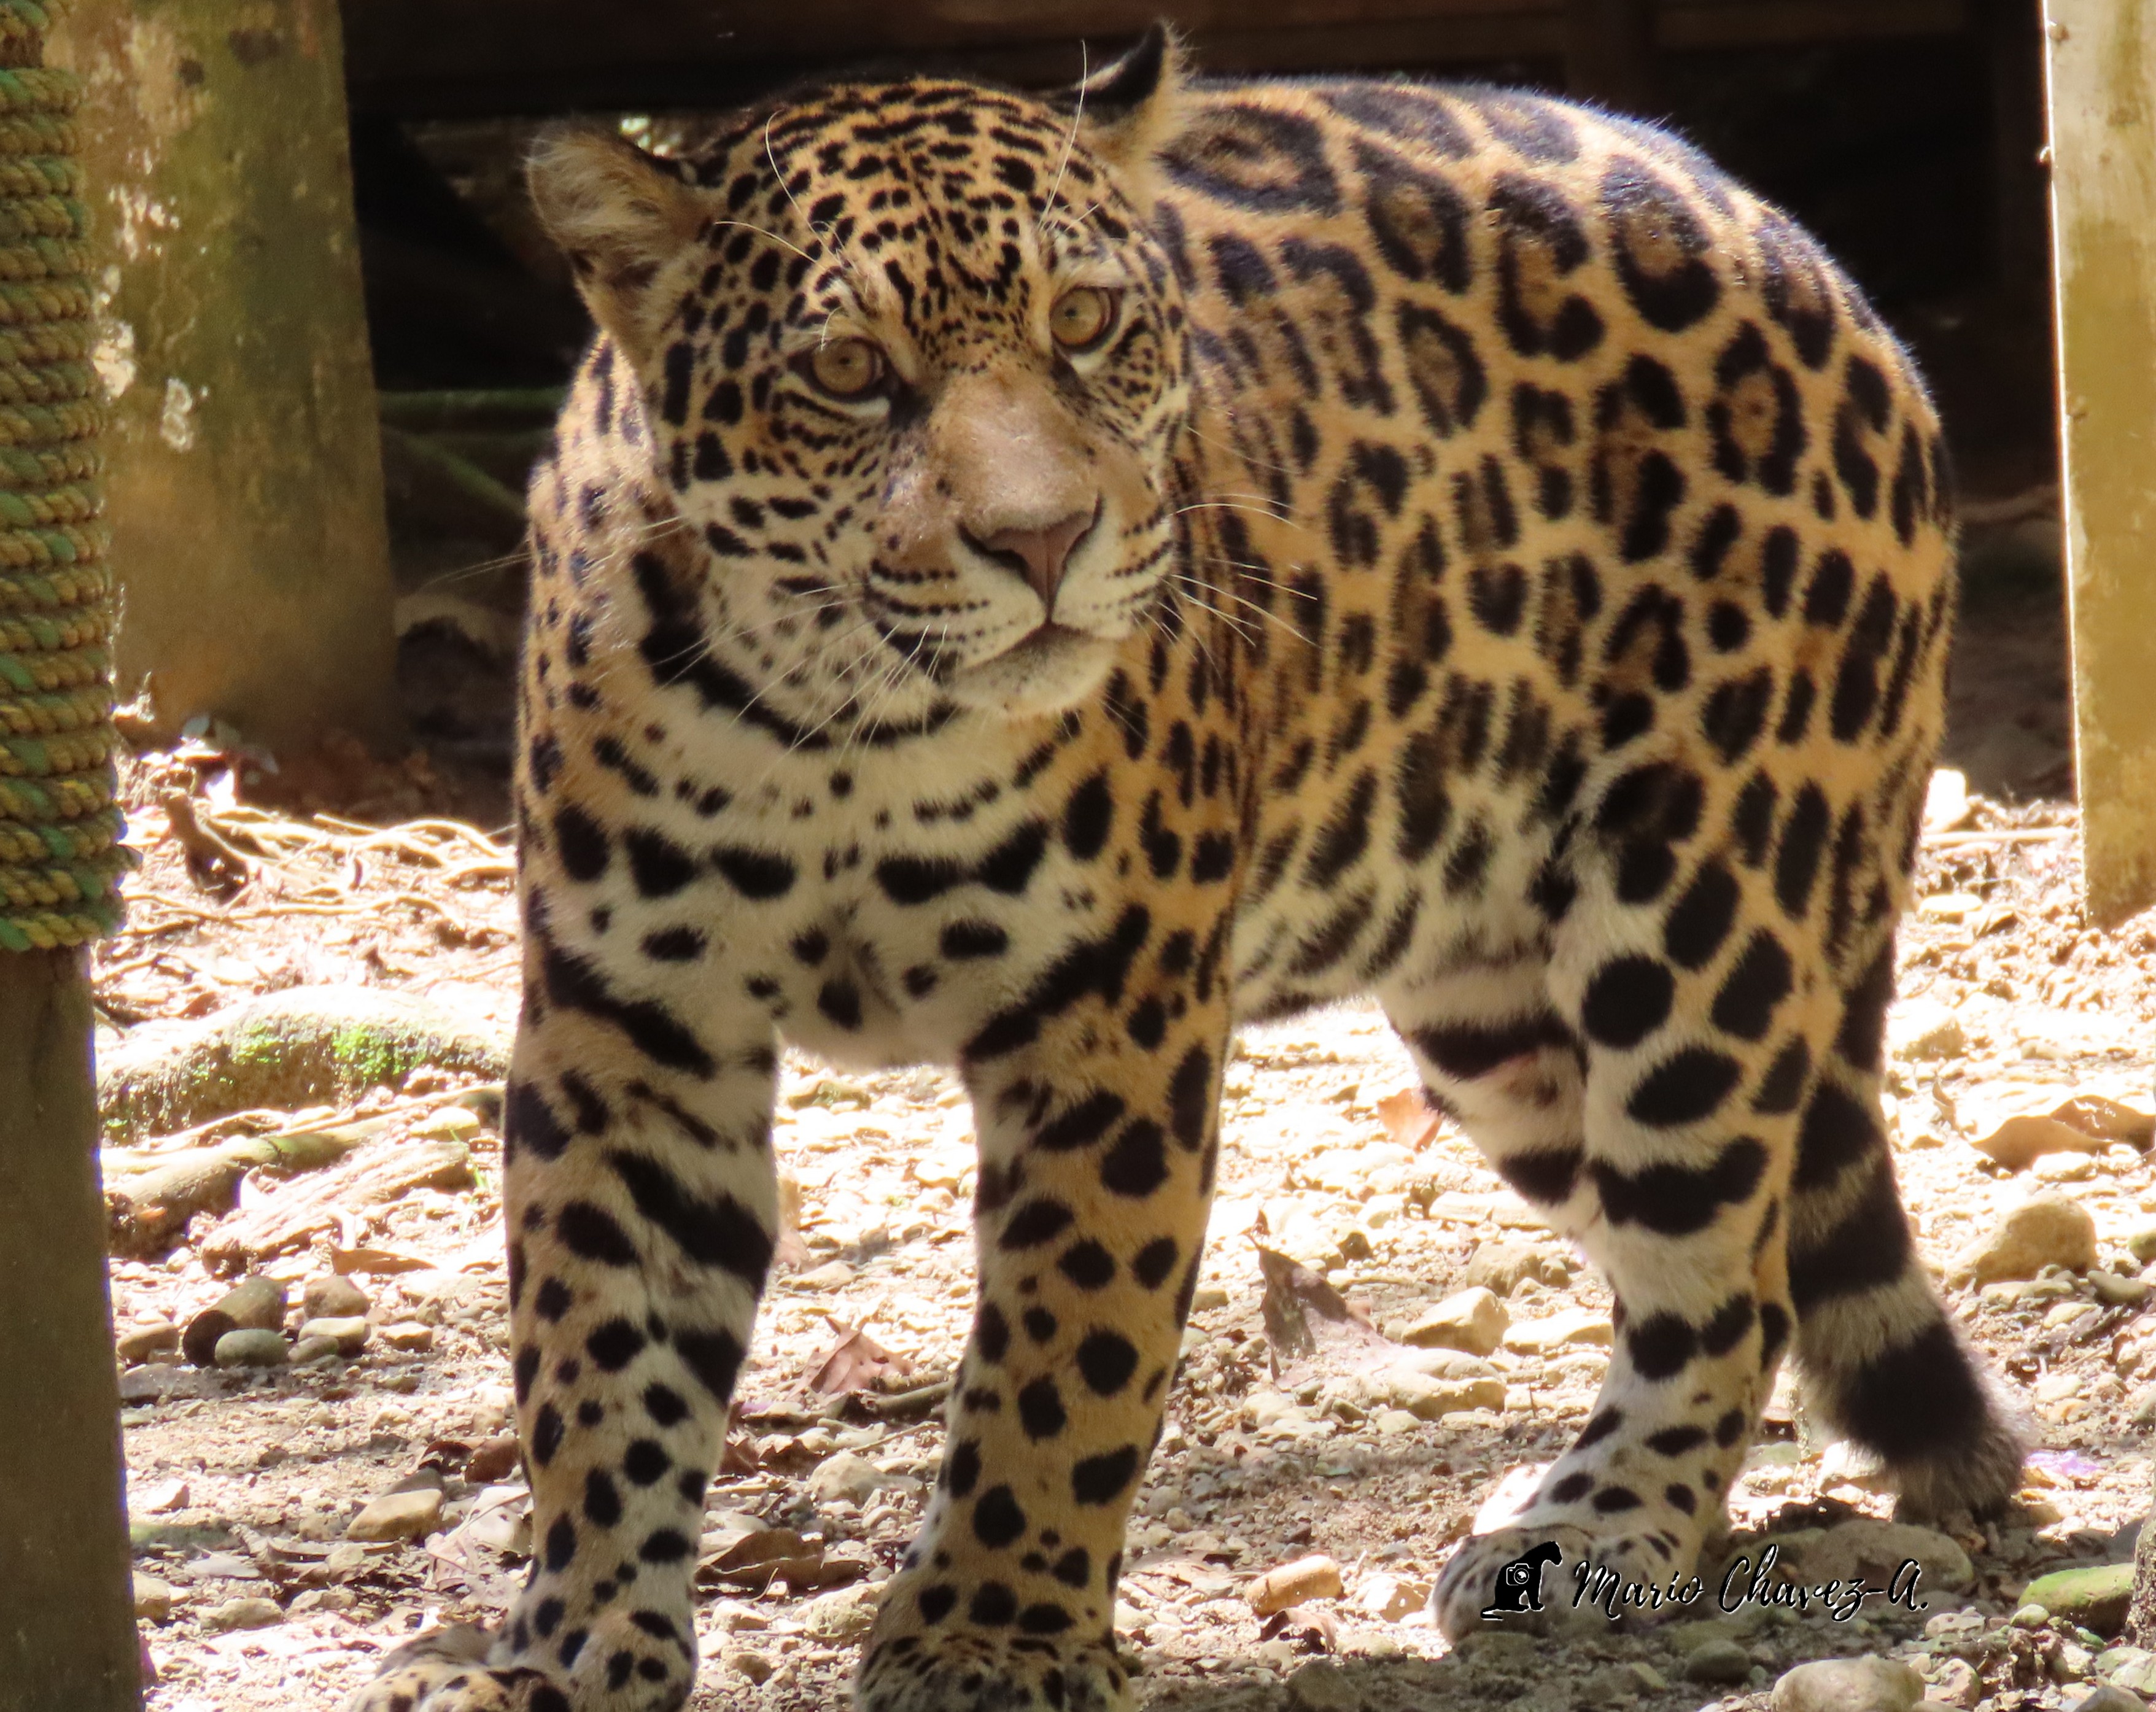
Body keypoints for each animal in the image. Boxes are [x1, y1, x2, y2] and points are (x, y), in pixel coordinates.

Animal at [352, 26, 2024, 1712]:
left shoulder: (1111, 1014)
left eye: (1084, 324)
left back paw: (1600, 1524)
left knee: (1725, 1266)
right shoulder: (630, 1027)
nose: (1043, 541)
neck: (851, 725)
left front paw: (990, 1632)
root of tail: (1802, 251)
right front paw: (567, 1645)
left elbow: (1064, 1348)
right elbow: (598, 1355)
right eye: (847, 372)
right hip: (1499, 1021)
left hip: (1698, 922)